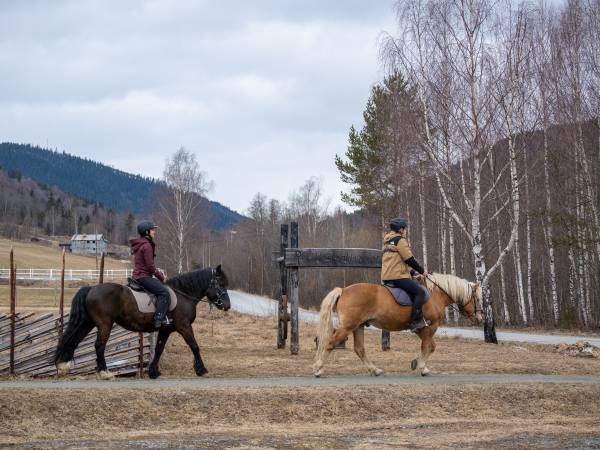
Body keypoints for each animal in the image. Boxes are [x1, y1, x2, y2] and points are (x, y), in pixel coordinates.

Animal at [55, 266, 230, 378]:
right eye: (221, 284)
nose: (227, 305)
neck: (183, 295)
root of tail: (91, 288)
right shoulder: (184, 326)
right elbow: (194, 346)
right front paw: (201, 370)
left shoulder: (166, 330)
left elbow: (159, 349)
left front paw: (153, 371)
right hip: (104, 324)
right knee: (99, 345)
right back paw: (104, 372)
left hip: (88, 322)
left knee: (74, 340)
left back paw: (63, 365)